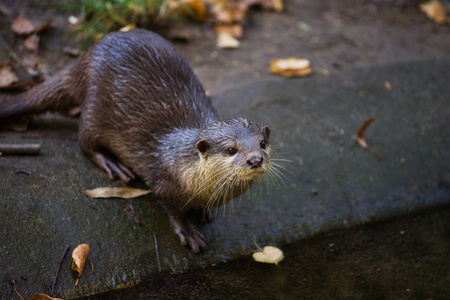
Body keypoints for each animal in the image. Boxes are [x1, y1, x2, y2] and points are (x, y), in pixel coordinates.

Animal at [0, 28, 270, 253]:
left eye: (262, 144)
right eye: (231, 149)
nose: (255, 160)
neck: (186, 167)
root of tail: (85, 58)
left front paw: (204, 211)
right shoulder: (165, 184)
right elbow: (174, 212)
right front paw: (188, 232)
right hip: (96, 107)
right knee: (85, 142)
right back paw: (114, 165)